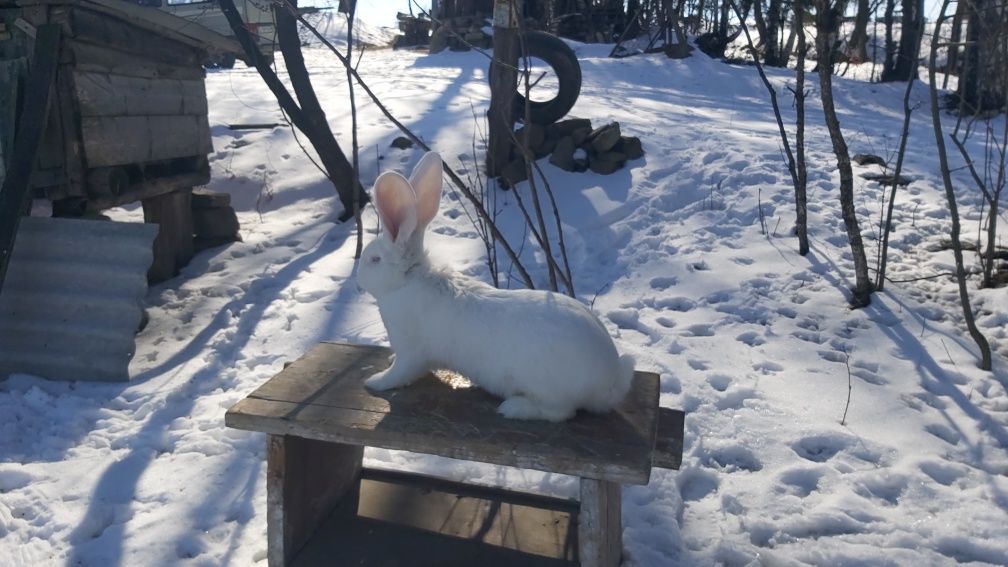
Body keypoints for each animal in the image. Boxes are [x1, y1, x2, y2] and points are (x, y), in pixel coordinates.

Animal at [358, 151, 633, 419]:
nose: (359, 276)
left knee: (560, 413)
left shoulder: (412, 351)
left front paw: (375, 381)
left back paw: (513, 408)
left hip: (549, 389)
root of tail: (608, 382)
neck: (408, 279)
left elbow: (400, 372)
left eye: (374, 260)